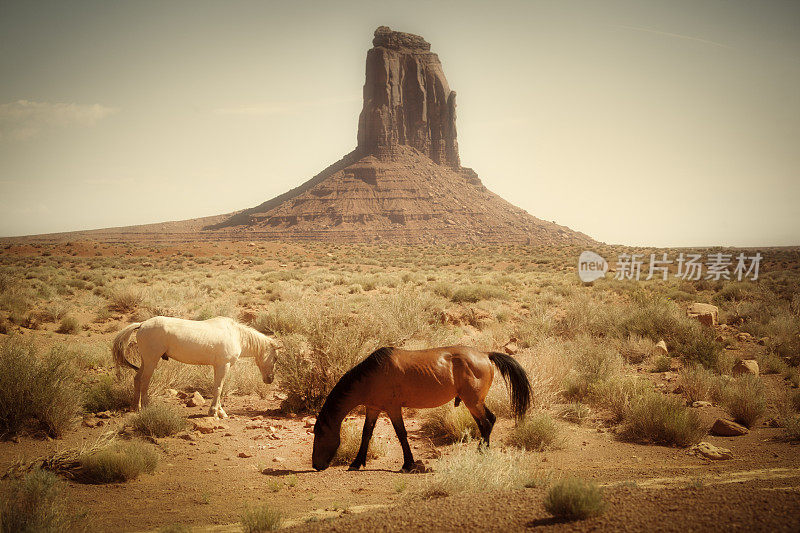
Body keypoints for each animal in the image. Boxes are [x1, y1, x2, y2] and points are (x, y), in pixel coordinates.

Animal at [111, 314, 282, 418]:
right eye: (275, 358)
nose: (270, 379)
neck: (237, 336)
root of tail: (142, 324)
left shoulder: (219, 366)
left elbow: (218, 388)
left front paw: (220, 412)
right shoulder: (223, 366)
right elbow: (218, 388)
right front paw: (215, 412)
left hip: (145, 360)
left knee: (137, 379)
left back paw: (135, 407)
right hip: (152, 360)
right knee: (145, 381)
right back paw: (146, 407)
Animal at [312, 348, 532, 472]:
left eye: (319, 433)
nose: (315, 465)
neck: (372, 376)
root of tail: (486, 355)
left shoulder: (393, 408)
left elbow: (401, 434)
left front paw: (408, 464)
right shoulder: (373, 408)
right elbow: (366, 434)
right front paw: (356, 463)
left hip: (473, 402)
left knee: (485, 423)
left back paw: (481, 452)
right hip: (475, 402)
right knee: (489, 421)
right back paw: (481, 449)